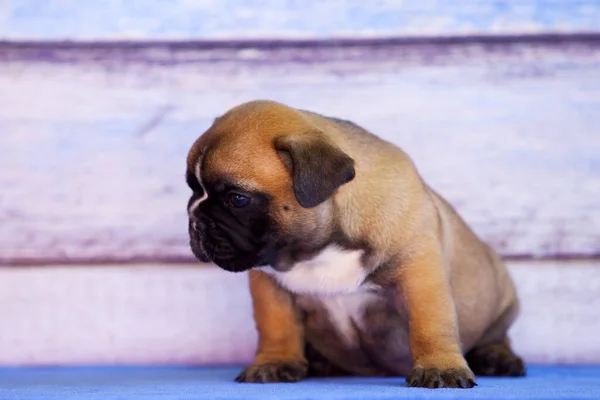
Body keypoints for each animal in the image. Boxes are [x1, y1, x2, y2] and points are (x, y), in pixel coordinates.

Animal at [185, 99, 524, 388]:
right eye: (192, 189)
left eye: (238, 199)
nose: (195, 219)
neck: (316, 250)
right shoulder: (268, 285)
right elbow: (275, 325)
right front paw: (274, 362)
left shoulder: (420, 274)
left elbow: (431, 324)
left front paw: (440, 367)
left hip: (501, 299)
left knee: (498, 335)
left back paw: (498, 358)